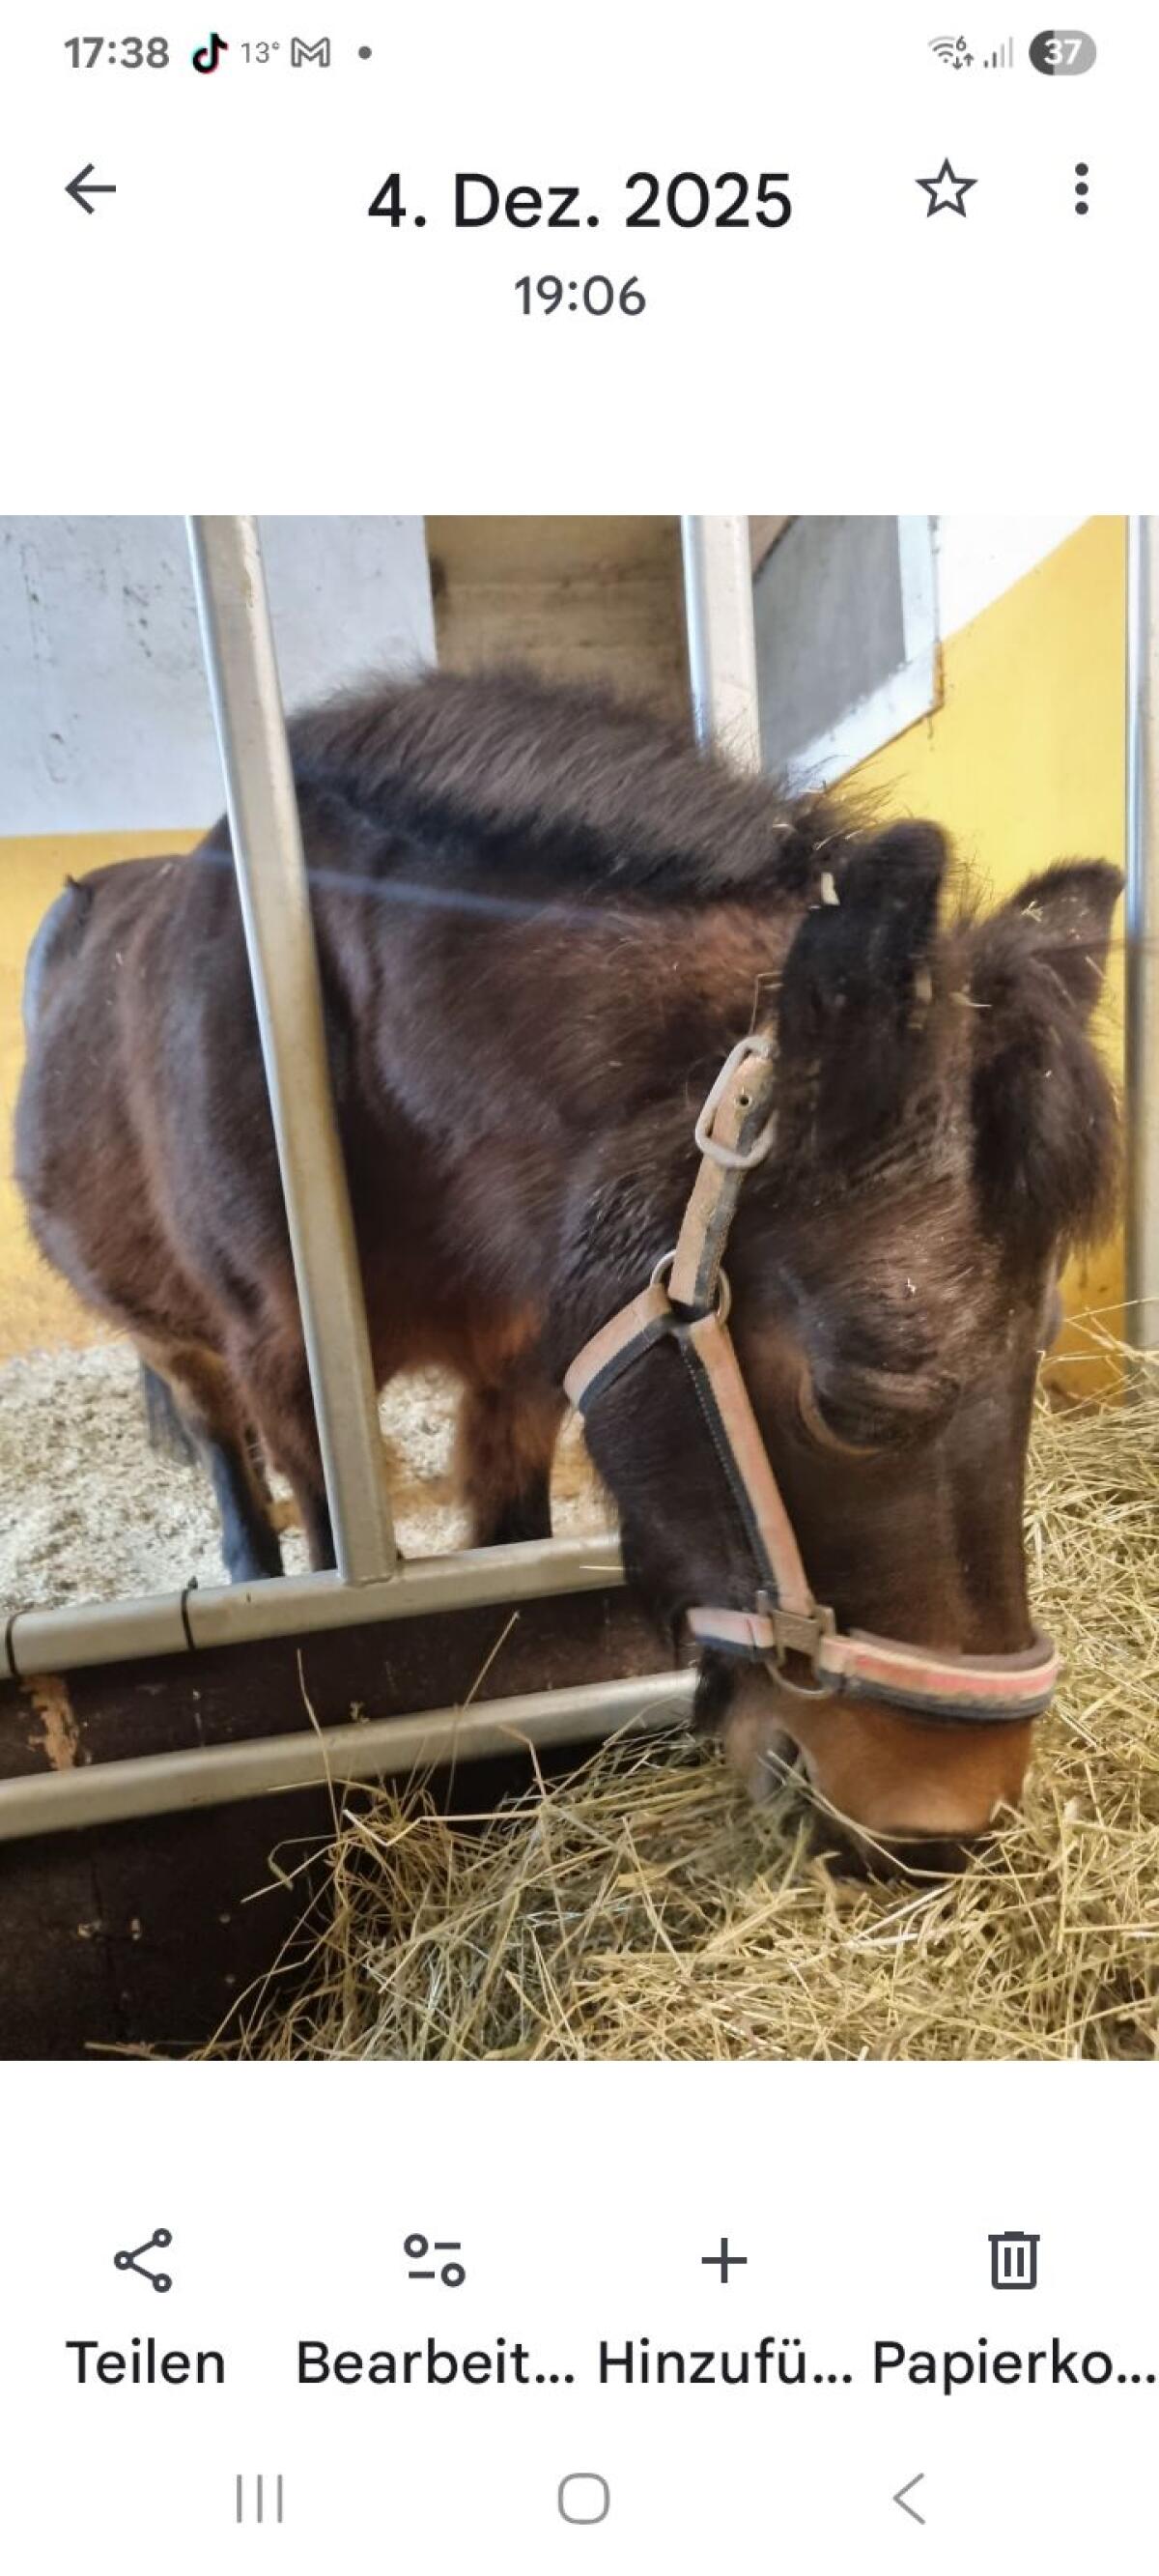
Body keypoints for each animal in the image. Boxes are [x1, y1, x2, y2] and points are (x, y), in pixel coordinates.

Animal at [15, 667, 1120, 1860]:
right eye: (855, 1404)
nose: (947, 1822)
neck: (346, 1044)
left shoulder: (522, 1370)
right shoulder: (298, 1385)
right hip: (179, 1346)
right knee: (220, 1449)